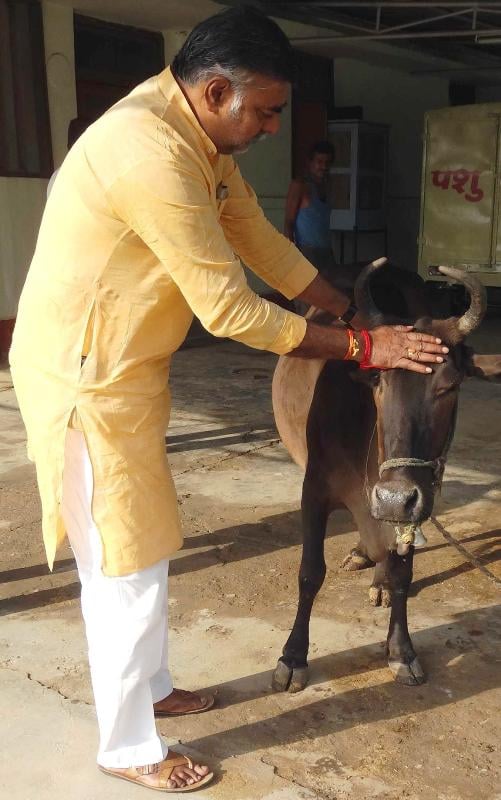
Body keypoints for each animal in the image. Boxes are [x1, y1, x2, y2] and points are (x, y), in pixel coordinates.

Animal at [271, 259, 501, 693]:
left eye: (450, 385)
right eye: (378, 378)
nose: (394, 497)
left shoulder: (416, 502)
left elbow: (401, 574)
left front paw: (400, 650)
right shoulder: (314, 489)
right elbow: (310, 573)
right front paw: (292, 657)